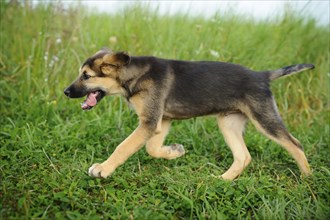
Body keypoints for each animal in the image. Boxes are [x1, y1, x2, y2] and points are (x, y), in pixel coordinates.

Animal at [63, 48, 314, 180]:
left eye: (86, 76)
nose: (65, 92)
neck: (135, 75)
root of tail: (262, 75)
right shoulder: (161, 121)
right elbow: (152, 148)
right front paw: (174, 152)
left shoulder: (149, 122)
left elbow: (123, 146)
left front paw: (103, 169)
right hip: (228, 123)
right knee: (244, 156)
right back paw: (222, 181)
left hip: (264, 118)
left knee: (295, 144)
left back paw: (307, 178)